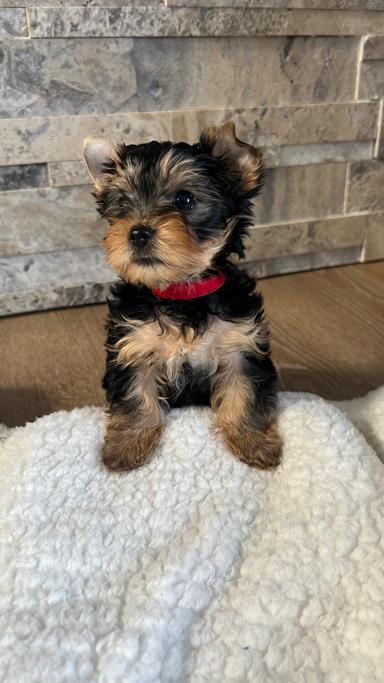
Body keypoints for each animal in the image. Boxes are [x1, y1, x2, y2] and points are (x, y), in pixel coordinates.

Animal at [84, 123, 282, 472]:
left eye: (185, 199)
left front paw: (253, 442)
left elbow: (244, 392)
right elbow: (135, 395)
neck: (179, 291)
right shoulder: (133, 346)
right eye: (122, 203)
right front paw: (127, 446)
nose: (137, 232)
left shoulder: (239, 345)